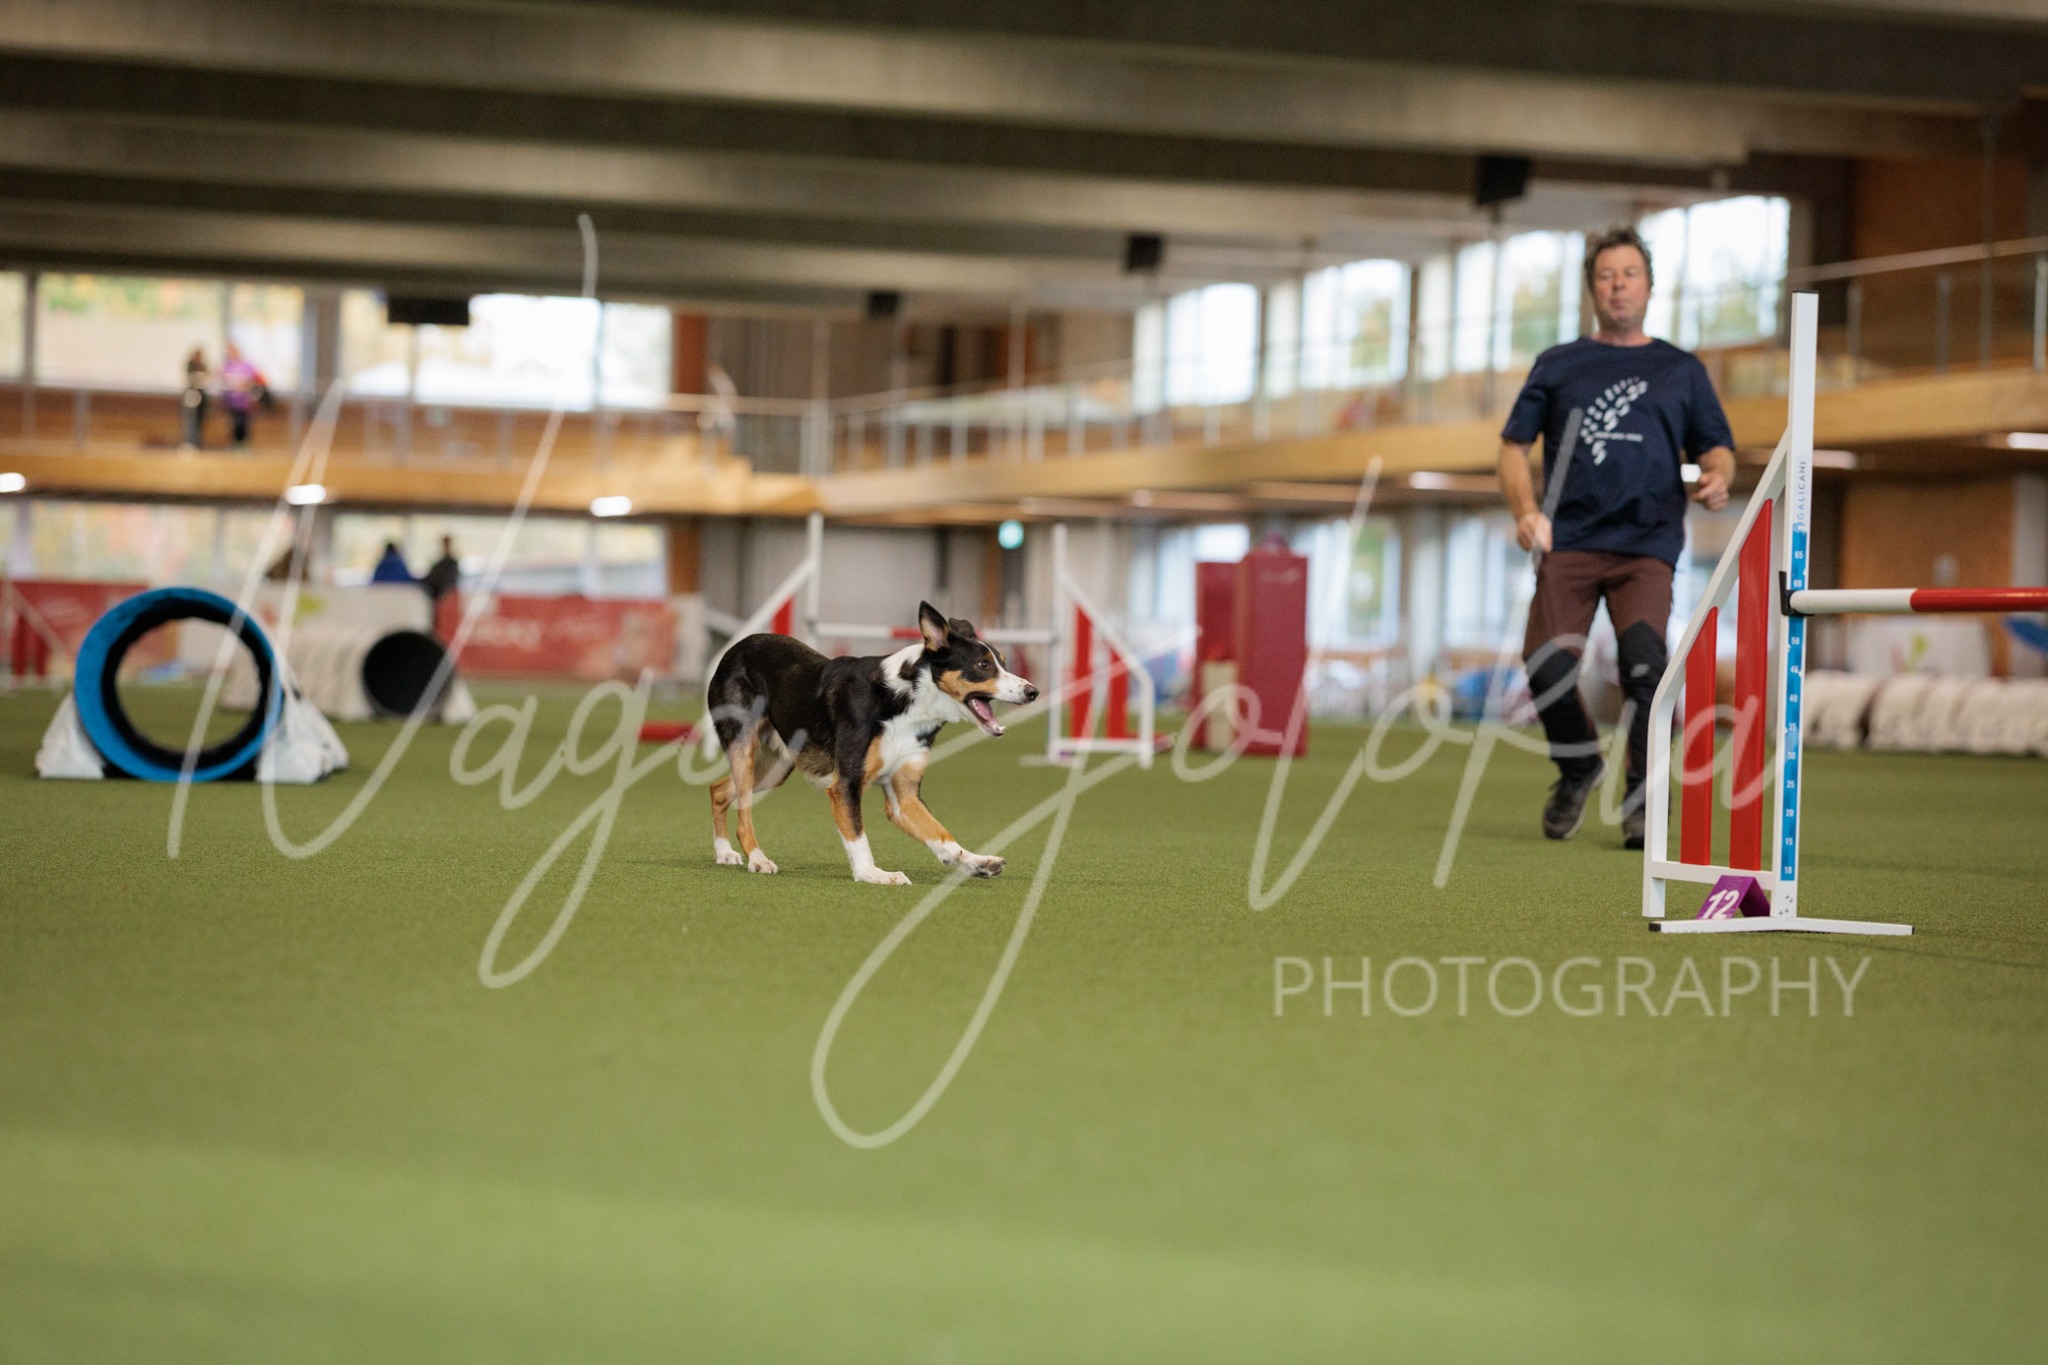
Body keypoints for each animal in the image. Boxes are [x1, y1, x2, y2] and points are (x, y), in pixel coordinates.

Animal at [707, 602, 1038, 884]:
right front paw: (873, 874)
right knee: (742, 813)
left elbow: (941, 835)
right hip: (745, 748)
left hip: (774, 767)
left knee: (719, 790)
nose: (1032, 692)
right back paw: (758, 859)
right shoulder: (846, 784)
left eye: (1003, 663)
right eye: (983, 665)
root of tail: (734, 649)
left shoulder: (904, 795)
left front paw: (975, 862)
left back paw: (724, 852)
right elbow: (858, 836)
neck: (908, 701)